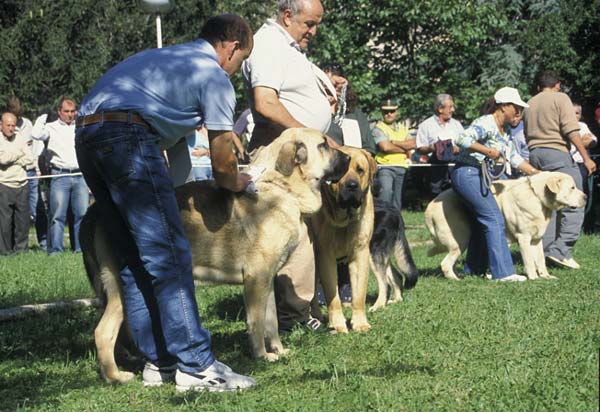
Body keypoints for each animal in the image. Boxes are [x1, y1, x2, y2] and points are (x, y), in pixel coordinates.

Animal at [81, 128, 352, 384]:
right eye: (323, 144)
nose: (349, 156)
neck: (280, 186)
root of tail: (93, 212)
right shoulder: (256, 279)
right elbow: (256, 323)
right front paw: (262, 356)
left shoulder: (267, 282)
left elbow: (271, 321)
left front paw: (279, 350)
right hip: (122, 289)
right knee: (102, 332)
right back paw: (116, 377)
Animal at [312, 146, 378, 334]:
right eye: (340, 173)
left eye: (360, 170)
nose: (352, 186)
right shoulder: (325, 256)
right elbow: (332, 297)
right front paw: (338, 324)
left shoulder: (360, 254)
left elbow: (359, 294)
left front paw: (360, 322)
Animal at [426, 171, 584, 280]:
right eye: (572, 188)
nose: (586, 197)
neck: (538, 198)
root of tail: (429, 209)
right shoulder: (524, 237)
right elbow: (529, 261)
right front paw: (533, 278)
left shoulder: (536, 239)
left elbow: (540, 260)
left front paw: (546, 277)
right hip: (460, 239)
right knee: (445, 264)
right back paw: (456, 279)